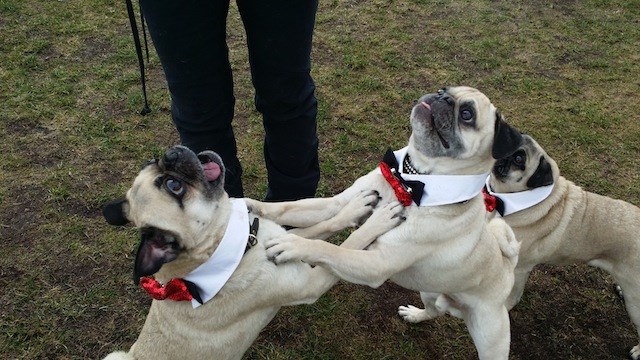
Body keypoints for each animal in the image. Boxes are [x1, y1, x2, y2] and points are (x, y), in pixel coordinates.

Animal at [100, 145, 402, 358]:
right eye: (175, 187)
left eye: (150, 163)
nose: (171, 153)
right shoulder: (312, 283)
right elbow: (343, 247)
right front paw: (379, 220)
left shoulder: (280, 236)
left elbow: (323, 227)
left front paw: (355, 208)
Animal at [249, 86, 520, 358]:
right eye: (443, 89)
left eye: (466, 114)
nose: (442, 97)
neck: (408, 180)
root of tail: (508, 267)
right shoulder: (336, 204)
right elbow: (288, 207)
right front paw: (250, 206)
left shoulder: (377, 263)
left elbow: (332, 249)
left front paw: (293, 245)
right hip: (429, 292)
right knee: (434, 310)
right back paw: (415, 315)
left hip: (490, 337)